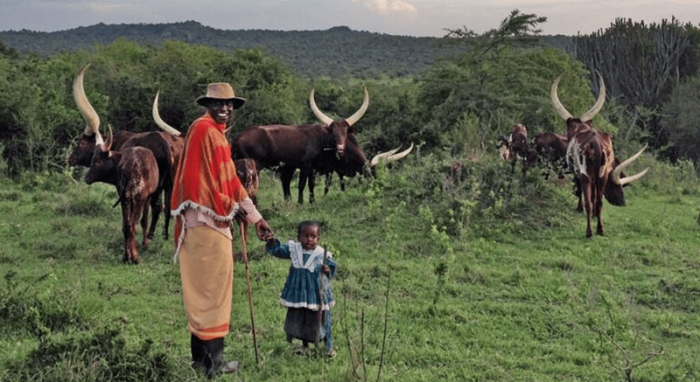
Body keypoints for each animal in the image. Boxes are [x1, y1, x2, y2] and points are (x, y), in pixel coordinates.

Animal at [71, 65, 179, 239]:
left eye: (81, 143)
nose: (70, 159)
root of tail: (164, 145)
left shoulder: (122, 187)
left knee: (156, 207)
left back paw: (150, 235)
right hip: (169, 184)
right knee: (167, 207)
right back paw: (163, 235)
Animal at [85, 127, 160, 264]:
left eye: (98, 161)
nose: (87, 178)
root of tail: (131, 164)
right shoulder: (147, 197)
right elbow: (144, 221)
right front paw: (145, 244)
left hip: (126, 198)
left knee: (126, 225)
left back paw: (126, 256)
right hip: (138, 197)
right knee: (132, 225)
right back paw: (135, 257)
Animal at [552, 72, 652, 236]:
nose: (622, 203)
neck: (581, 128)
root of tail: (596, 144)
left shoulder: (578, 174)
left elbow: (581, 192)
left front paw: (579, 208)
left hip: (586, 174)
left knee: (589, 200)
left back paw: (589, 232)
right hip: (602, 175)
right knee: (598, 201)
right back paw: (600, 229)